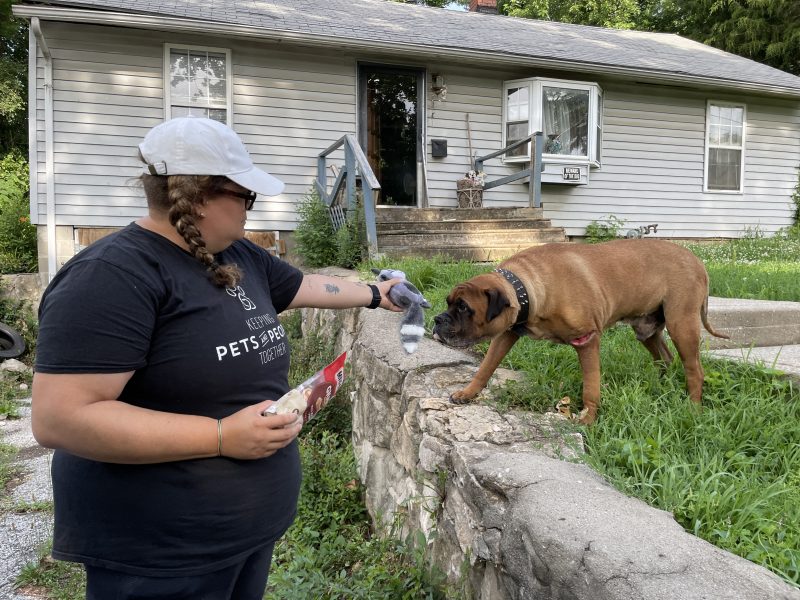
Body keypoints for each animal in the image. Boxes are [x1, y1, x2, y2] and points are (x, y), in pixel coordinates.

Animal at [432, 237, 732, 424]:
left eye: (464, 307)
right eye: (449, 303)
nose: (437, 319)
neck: (528, 288)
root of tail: (698, 261)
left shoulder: (586, 340)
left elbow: (591, 386)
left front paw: (587, 418)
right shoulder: (507, 333)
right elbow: (485, 367)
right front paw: (468, 392)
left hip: (682, 324)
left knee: (694, 370)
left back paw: (693, 408)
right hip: (646, 328)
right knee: (665, 358)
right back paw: (660, 386)